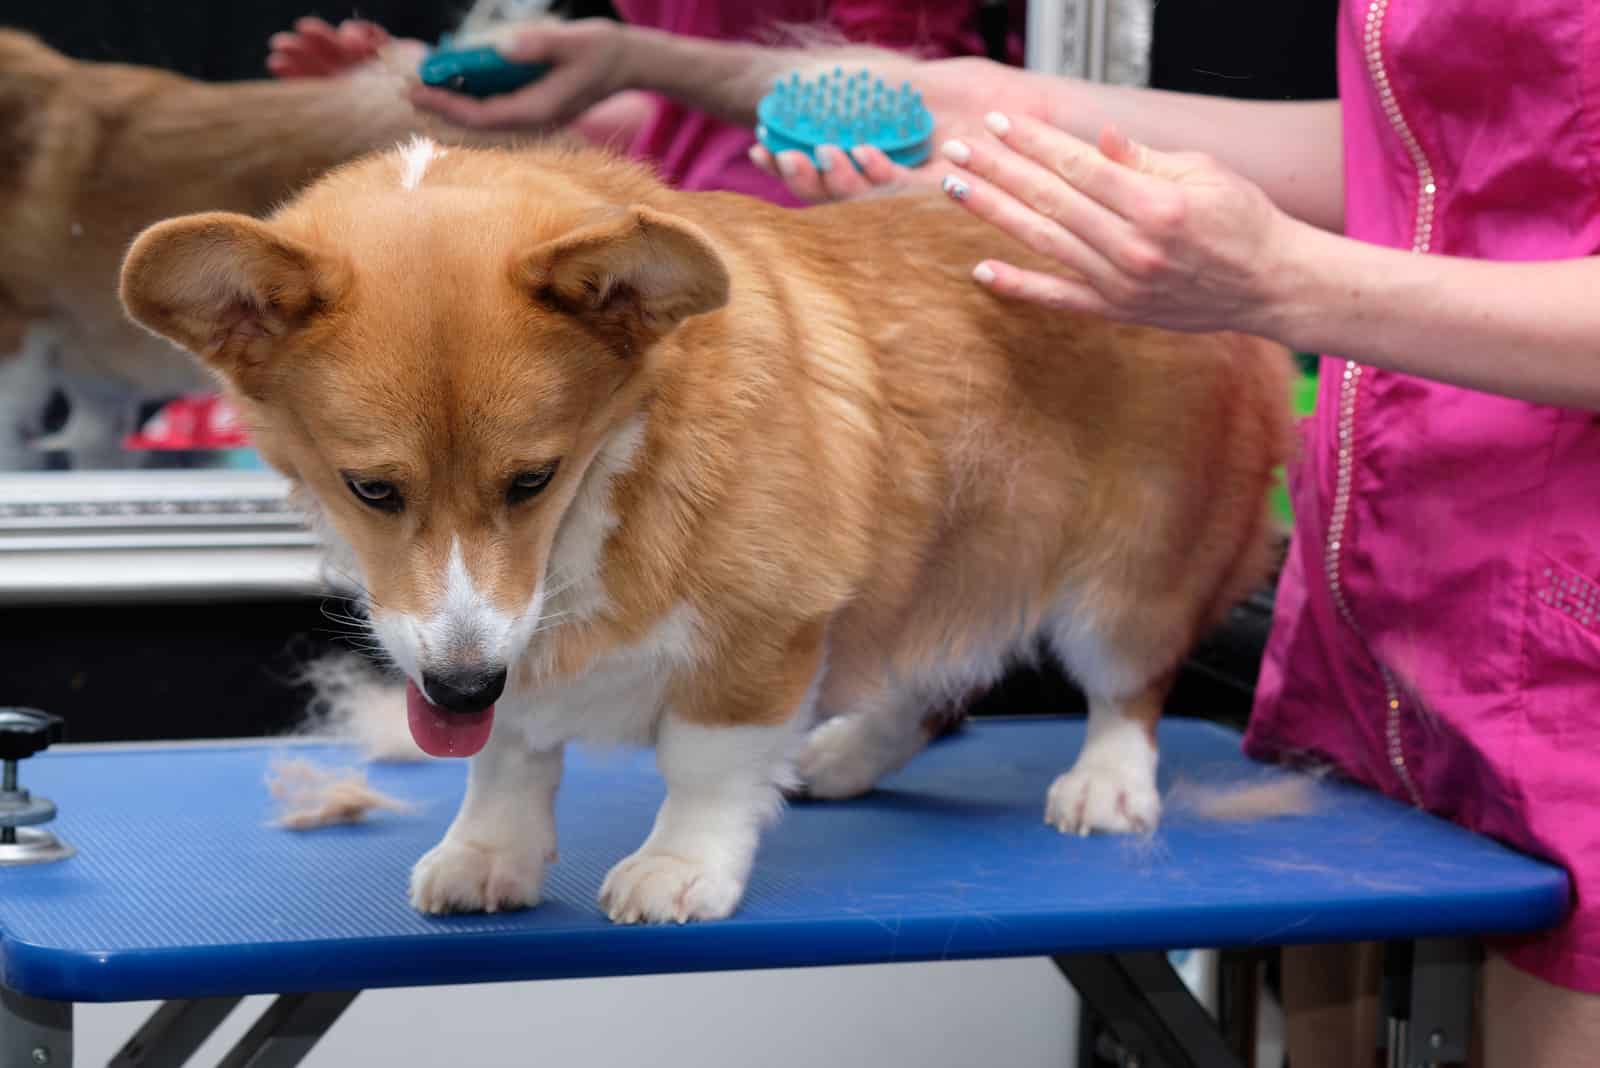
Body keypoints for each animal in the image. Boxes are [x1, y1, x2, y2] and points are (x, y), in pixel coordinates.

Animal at [121, 139, 1299, 927]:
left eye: (531, 479)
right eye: (369, 489)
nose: (455, 691)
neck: (612, 470)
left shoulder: (763, 630)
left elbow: (704, 762)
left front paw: (679, 868)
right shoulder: (496, 646)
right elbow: (509, 755)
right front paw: (490, 853)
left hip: (1124, 582)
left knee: (1123, 688)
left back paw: (1105, 784)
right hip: (934, 560)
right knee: (932, 678)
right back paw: (845, 753)